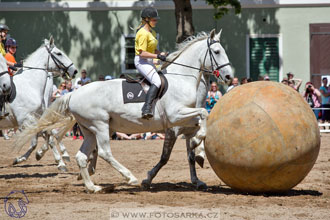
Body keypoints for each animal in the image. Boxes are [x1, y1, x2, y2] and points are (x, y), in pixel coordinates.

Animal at [1, 37, 77, 170]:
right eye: (59, 53)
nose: (74, 71)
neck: (30, 85)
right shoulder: (25, 120)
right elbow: (45, 136)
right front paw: (60, 161)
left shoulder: (38, 118)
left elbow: (44, 136)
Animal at [15, 29, 232, 192]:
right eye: (217, 51)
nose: (229, 77)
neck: (183, 78)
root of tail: (74, 94)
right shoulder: (175, 117)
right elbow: (203, 115)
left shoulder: (184, 121)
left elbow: (196, 136)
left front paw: (199, 154)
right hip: (100, 126)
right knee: (104, 152)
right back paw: (129, 177)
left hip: (89, 130)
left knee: (82, 156)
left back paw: (93, 187)